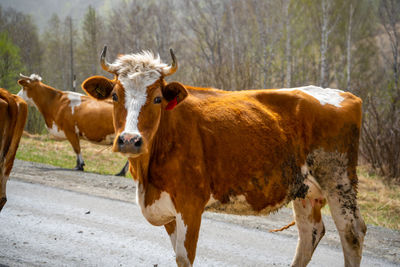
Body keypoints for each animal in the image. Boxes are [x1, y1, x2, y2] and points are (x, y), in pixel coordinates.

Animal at [81, 47, 366, 266]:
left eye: (158, 98)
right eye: (115, 95)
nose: (130, 140)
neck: (147, 177)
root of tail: (342, 94)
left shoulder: (190, 204)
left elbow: (184, 257)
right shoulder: (168, 209)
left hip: (338, 179)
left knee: (351, 231)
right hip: (305, 189)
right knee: (310, 234)